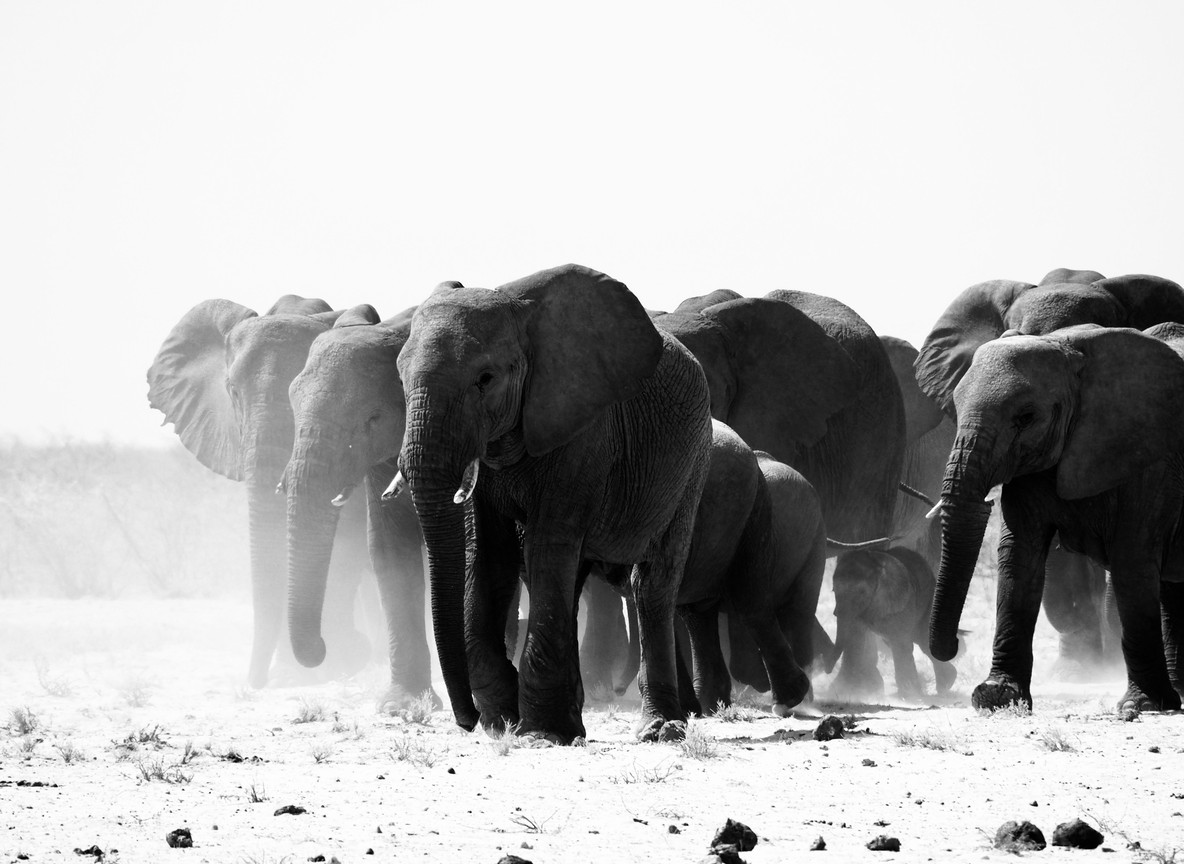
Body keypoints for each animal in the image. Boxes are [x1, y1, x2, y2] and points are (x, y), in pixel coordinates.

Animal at [393, 264, 713, 744]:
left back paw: (659, 729)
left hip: (692, 462)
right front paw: (504, 720)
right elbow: (487, 555)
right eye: (399, 378)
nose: (466, 722)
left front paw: (541, 732)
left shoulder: (585, 432)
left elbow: (546, 547)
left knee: (652, 582)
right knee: (572, 579)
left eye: (485, 379)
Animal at [829, 546, 955, 699]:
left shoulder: (900, 600)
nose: (827, 670)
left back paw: (945, 685)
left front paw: (911, 695)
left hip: (928, 598)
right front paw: (843, 691)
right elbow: (855, 641)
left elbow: (900, 643)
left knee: (922, 640)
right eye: (833, 590)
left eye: (862, 593)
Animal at [922, 323, 1184, 712]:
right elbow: (1019, 555)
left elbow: (1133, 559)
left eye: (1026, 417)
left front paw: (1142, 705)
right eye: (954, 405)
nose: (953, 646)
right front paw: (996, 697)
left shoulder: (1149, 453)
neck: (1066, 348)